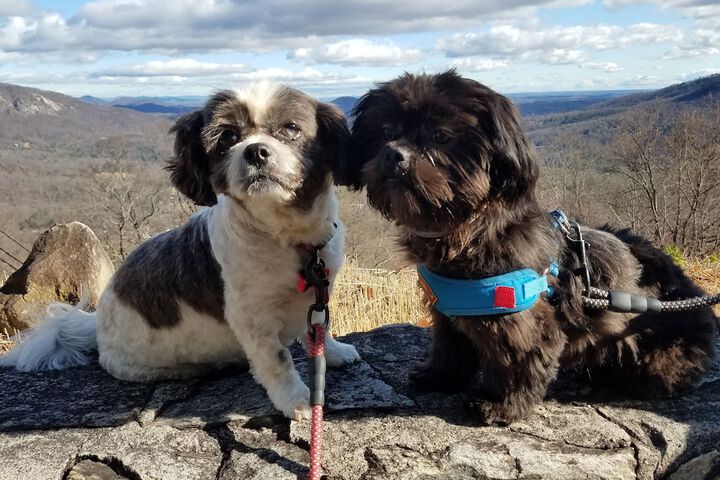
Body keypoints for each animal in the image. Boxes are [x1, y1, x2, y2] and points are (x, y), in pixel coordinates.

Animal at [0, 82, 360, 420]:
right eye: (228, 136)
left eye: (290, 128)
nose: (256, 151)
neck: (286, 238)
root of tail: (97, 322)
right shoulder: (252, 317)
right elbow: (277, 361)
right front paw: (298, 401)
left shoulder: (319, 292)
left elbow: (320, 328)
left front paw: (334, 352)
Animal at [346, 70, 716, 424]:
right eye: (385, 131)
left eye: (440, 136)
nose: (394, 153)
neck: (471, 232)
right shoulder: (447, 311)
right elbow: (451, 348)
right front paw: (440, 377)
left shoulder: (520, 322)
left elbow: (519, 360)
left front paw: (502, 405)